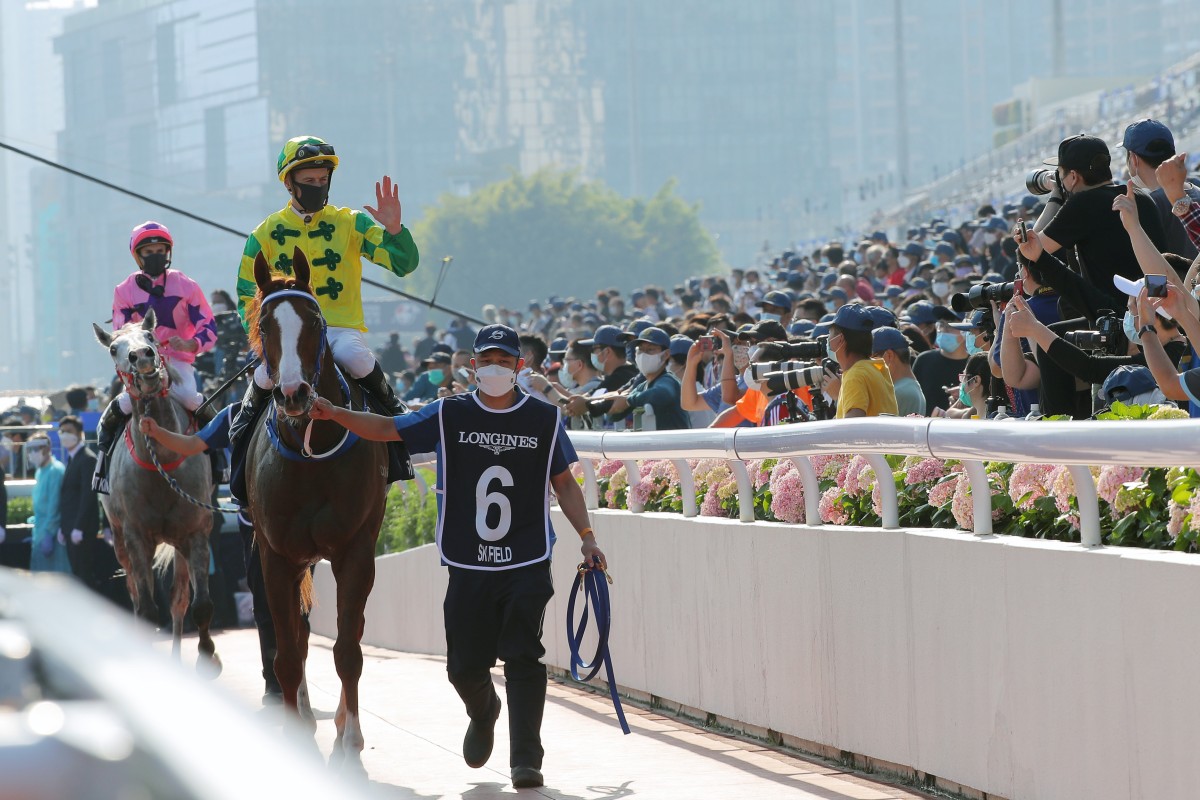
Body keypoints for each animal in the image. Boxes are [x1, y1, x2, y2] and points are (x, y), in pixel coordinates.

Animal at [92, 311, 222, 676]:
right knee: (136, 596)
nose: (142, 357)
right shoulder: (136, 535)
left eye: (151, 335)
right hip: (120, 538)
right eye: (114, 349)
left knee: (179, 600)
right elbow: (147, 609)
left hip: (179, 543)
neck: (161, 462)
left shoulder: (196, 532)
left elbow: (200, 604)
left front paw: (208, 657)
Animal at [246, 248, 386, 767]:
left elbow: (348, 649)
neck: (312, 448)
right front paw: (295, 735)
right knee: (300, 638)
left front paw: (350, 745)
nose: (293, 394)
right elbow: (288, 653)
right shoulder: (276, 555)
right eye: (264, 324)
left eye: (315, 321)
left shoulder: (355, 551)